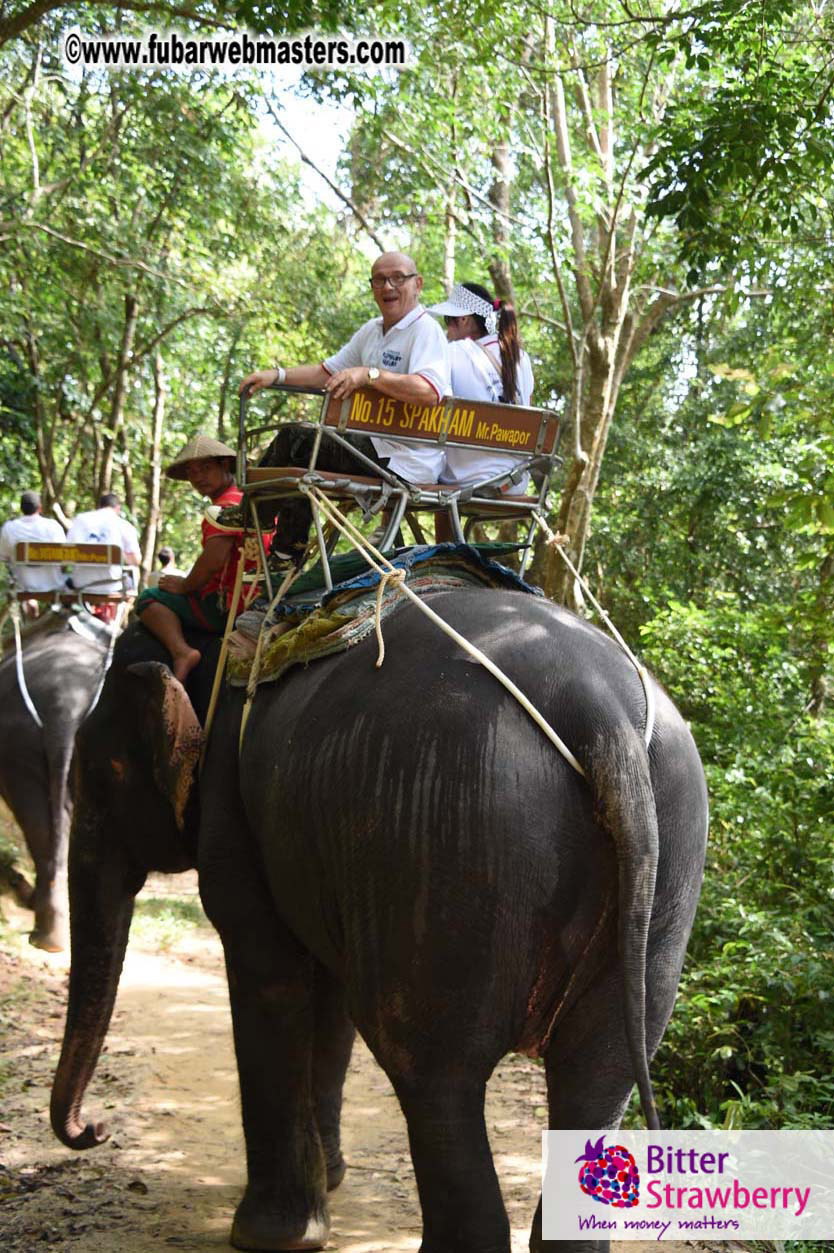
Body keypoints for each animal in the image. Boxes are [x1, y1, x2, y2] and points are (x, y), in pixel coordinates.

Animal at [50, 590, 708, 1253]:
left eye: (98, 773)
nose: (95, 1129)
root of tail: (600, 713)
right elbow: (330, 995)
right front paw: (331, 1177)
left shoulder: (232, 813)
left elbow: (267, 971)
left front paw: (272, 1235)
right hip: (660, 864)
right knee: (599, 1074)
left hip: (444, 834)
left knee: (429, 1069)